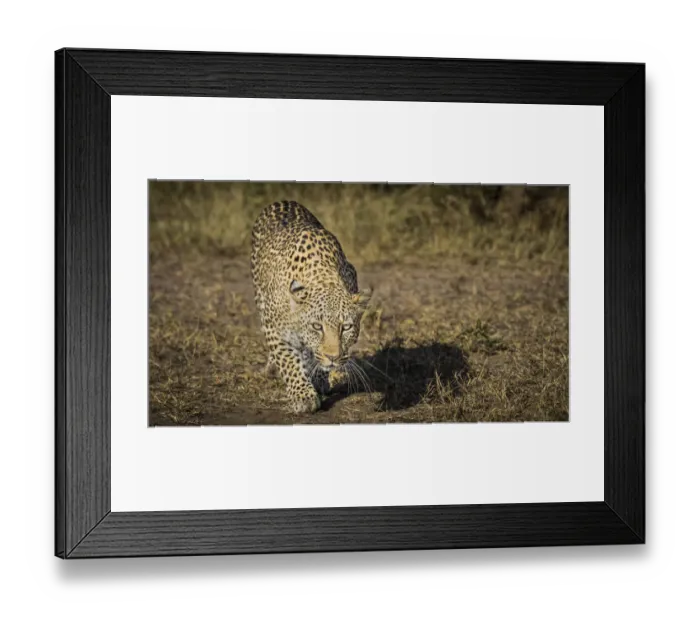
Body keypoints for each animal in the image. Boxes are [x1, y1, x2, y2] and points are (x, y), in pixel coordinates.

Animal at [251, 201, 372, 414]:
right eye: (317, 326)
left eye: (346, 327)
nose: (333, 357)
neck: (325, 279)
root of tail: (283, 201)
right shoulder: (274, 329)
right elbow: (288, 361)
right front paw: (303, 396)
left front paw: (319, 378)